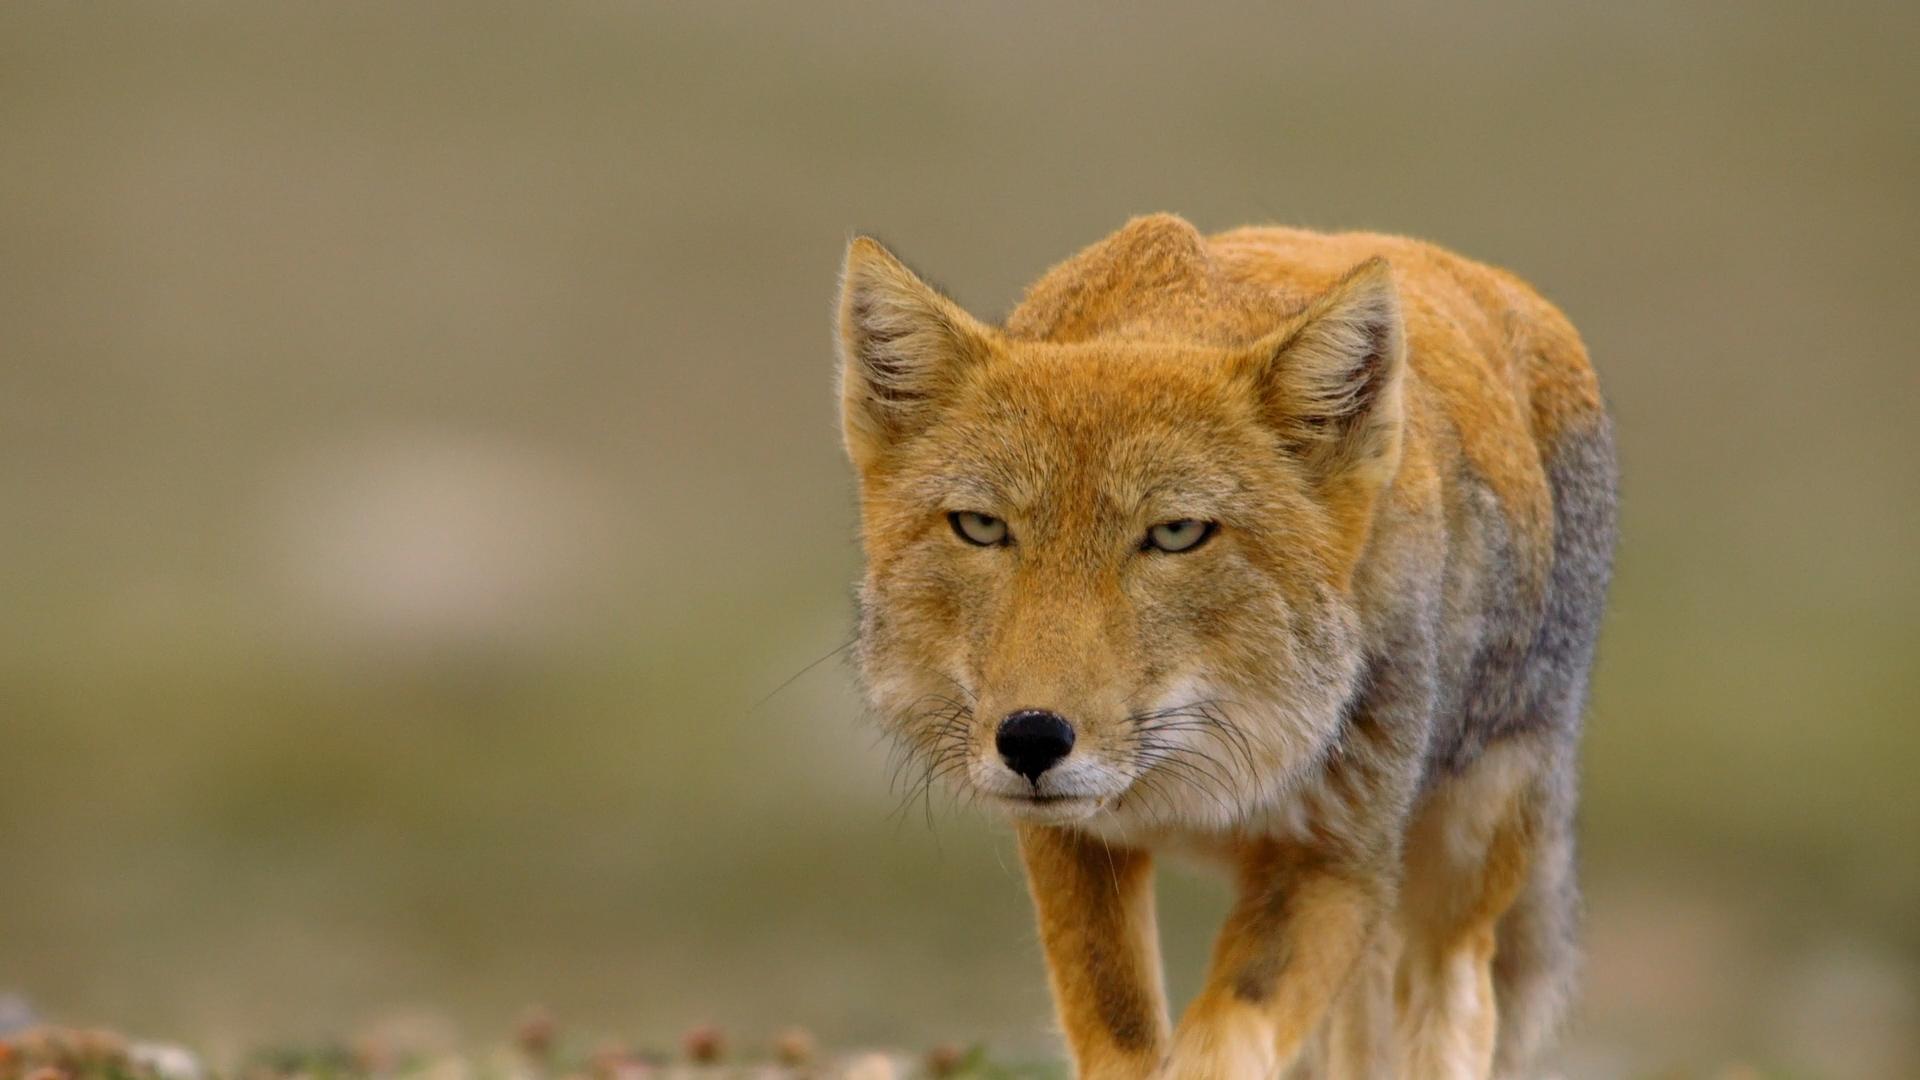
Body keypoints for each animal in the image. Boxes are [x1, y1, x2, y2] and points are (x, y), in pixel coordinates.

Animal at [833, 214, 1617, 1079]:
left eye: (1176, 533)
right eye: (981, 527)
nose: (1031, 739)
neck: (1192, 792)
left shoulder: (1337, 859)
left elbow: (1223, 1040)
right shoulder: (1071, 843)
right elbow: (1122, 1039)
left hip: (1452, 874)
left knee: (1454, 1000)